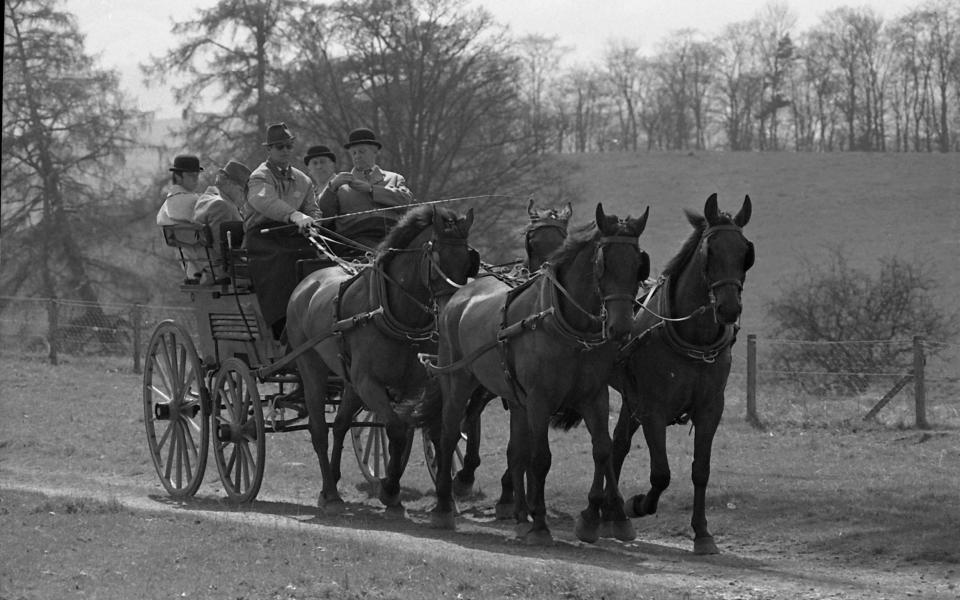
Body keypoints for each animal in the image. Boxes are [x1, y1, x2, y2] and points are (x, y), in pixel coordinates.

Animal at [286, 204, 478, 512]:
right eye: (436, 257)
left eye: (467, 260)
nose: (452, 310)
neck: (395, 313)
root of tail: (307, 283)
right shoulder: (369, 383)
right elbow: (396, 430)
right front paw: (389, 488)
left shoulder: (415, 384)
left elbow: (424, 432)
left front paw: (424, 491)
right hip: (311, 366)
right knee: (319, 430)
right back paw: (330, 493)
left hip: (349, 381)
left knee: (340, 425)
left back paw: (334, 478)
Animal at [424, 203, 648, 544]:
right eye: (602, 263)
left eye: (638, 264)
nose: (621, 328)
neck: (568, 327)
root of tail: (460, 294)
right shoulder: (541, 400)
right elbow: (541, 458)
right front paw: (540, 523)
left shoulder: (593, 396)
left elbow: (602, 450)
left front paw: (608, 519)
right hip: (458, 380)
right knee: (449, 434)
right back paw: (444, 506)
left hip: (516, 398)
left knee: (516, 451)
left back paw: (517, 513)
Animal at [612, 195, 752, 556]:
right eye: (710, 251)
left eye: (745, 252)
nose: (729, 309)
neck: (694, 338)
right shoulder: (653, 409)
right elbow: (661, 473)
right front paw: (638, 504)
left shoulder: (710, 409)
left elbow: (700, 470)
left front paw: (702, 533)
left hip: (631, 398)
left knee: (617, 445)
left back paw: (611, 514)